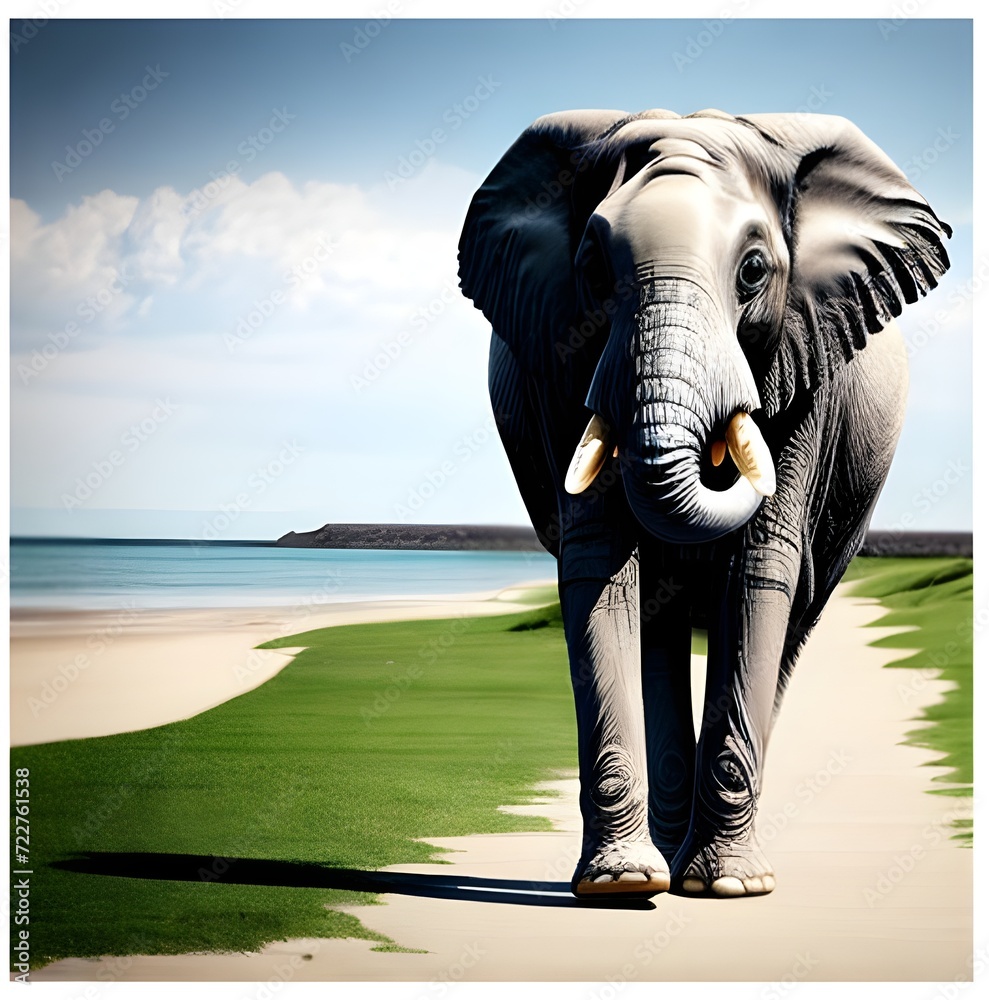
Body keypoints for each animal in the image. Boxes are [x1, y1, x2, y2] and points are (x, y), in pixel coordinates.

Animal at [457, 109, 951, 899]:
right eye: (593, 271)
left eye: (752, 271)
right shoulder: (560, 362)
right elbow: (599, 562)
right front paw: (619, 887)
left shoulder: (807, 364)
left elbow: (759, 568)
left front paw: (729, 889)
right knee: (657, 629)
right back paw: (661, 859)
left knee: (788, 626)